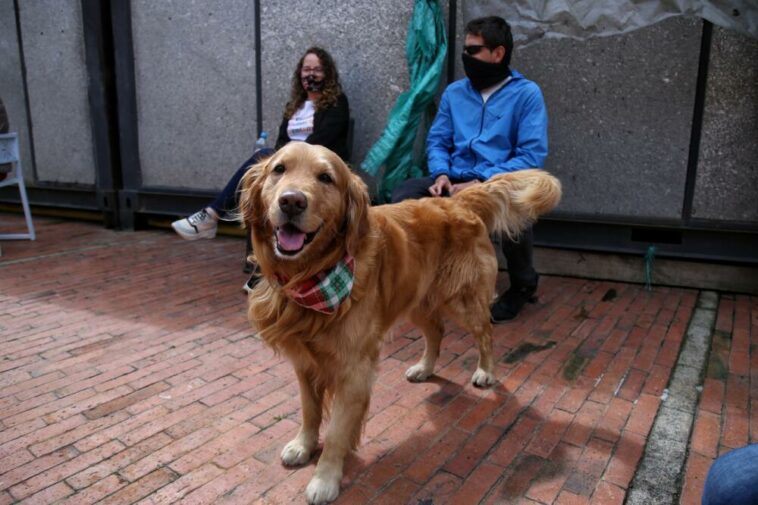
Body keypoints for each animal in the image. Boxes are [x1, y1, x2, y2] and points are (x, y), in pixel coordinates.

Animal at [240, 141, 560, 500]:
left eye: (326, 178)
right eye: (279, 169)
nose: (291, 201)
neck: (311, 276)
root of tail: (457, 199)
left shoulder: (354, 369)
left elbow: (336, 432)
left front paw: (325, 479)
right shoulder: (305, 362)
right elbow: (310, 411)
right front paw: (303, 446)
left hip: (463, 301)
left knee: (486, 333)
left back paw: (485, 372)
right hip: (417, 298)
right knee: (436, 331)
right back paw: (425, 368)